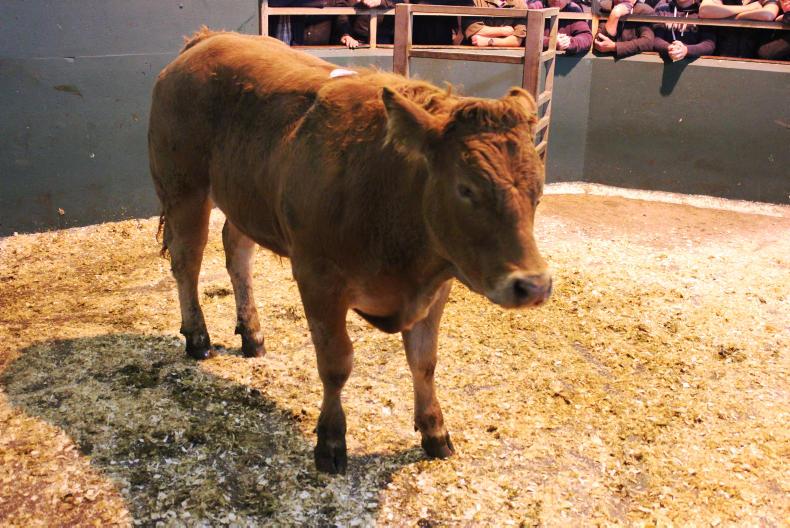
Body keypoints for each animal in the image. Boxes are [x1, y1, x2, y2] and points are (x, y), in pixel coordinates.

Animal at [149, 29, 552, 474]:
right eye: (466, 188)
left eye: (538, 191)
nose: (534, 285)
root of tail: (207, 40)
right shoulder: (317, 278)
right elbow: (336, 363)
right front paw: (330, 441)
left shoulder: (437, 286)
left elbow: (424, 361)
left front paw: (434, 431)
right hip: (184, 188)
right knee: (187, 262)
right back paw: (197, 337)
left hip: (244, 197)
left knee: (237, 252)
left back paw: (252, 334)